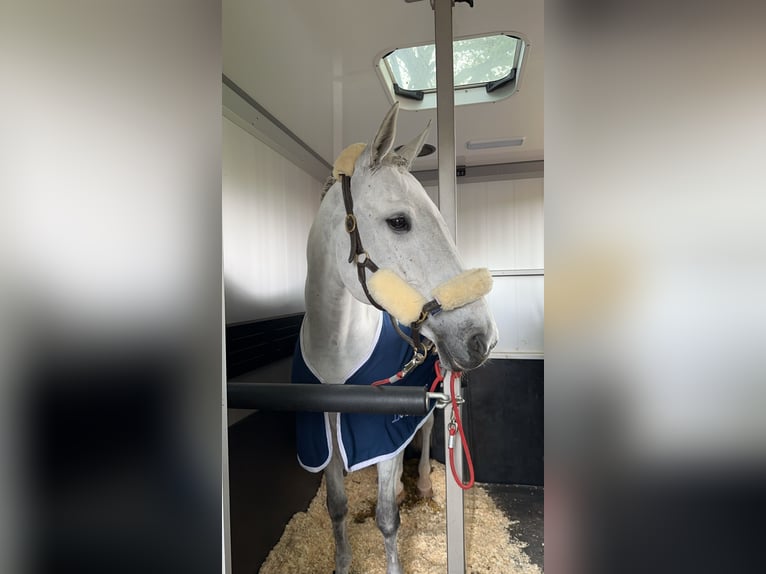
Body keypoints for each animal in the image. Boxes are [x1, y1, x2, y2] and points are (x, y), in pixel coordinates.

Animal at [292, 103, 498, 574]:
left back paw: (419, 483)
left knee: (423, 433)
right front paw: (342, 564)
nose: (483, 338)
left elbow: (387, 518)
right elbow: (336, 506)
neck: (336, 351)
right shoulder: (326, 434)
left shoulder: (383, 432)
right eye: (399, 222)